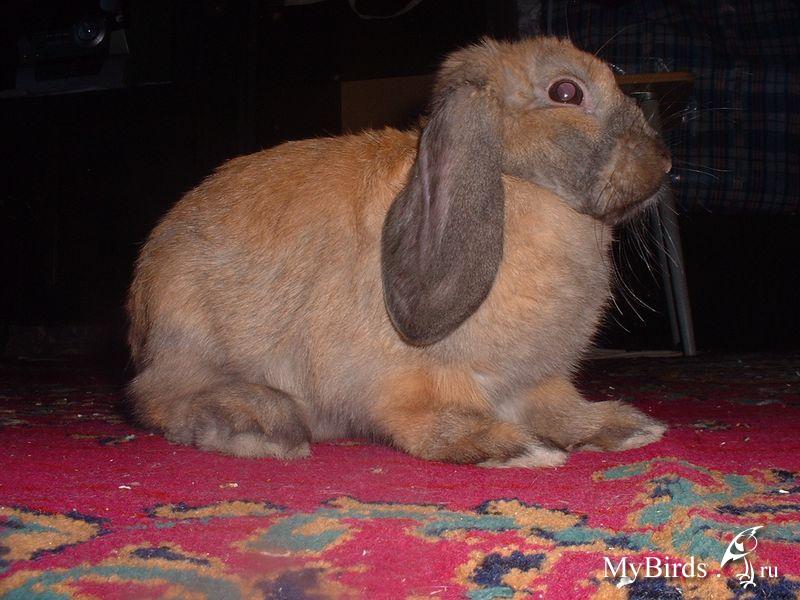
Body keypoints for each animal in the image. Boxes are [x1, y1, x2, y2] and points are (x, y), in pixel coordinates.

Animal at [127, 37, 669, 467]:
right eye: (565, 92)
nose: (664, 165)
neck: (518, 187)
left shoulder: (537, 380)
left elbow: (561, 408)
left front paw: (625, 428)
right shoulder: (415, 382)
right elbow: (434, 422)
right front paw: (515, 447)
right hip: (190, 331)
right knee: (160, 398)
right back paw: (262, 427)